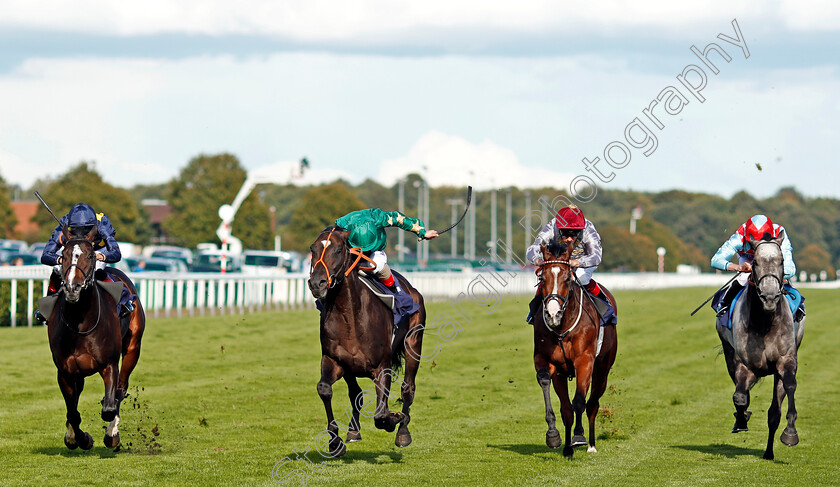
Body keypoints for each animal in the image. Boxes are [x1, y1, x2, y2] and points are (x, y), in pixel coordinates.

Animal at [44, 238, 144, 452]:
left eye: (90, 255)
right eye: (63, 255)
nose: (72, 288)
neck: (80, 324)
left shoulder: (109, 364)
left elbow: (109, 407)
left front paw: (110, 434)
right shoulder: (65, 371)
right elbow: (72, 412)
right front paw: (79, 438)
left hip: (133, 347)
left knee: (121, 389)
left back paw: (112, 432)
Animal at [306, 227, 426, 460]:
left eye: (338, 249)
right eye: (312, 249)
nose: (317, 283)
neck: (350, 316)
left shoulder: (382, 367)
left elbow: (381, 414)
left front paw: (395, 419)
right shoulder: (334, 360)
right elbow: (325, 389)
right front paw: (335, 442)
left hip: (414, 342)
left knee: (408, 388)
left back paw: (403, 433)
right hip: (350, 367)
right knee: (356, 393)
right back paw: (353, 430)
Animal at [532, 242, 616, 460]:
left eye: (567, 278)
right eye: (542, 278)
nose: (552, 314)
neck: (563, 327)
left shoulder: (584, 360)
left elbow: (579, 401)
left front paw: (579, 437)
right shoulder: (547, 361)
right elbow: (562, 404)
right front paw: (555, 437)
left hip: (602, 369)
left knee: (593, 404)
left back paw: (591, 444)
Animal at [720, 232, 804, 462]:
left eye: (782, 261)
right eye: (755, 262)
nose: (769, 297)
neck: (765, 322)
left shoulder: (786, 360)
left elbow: (789, 387)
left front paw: (790, 433)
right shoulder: (743, 363)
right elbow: (739, 396)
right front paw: (741, 419)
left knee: (774, 411)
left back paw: (768, 452)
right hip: (728, 353)